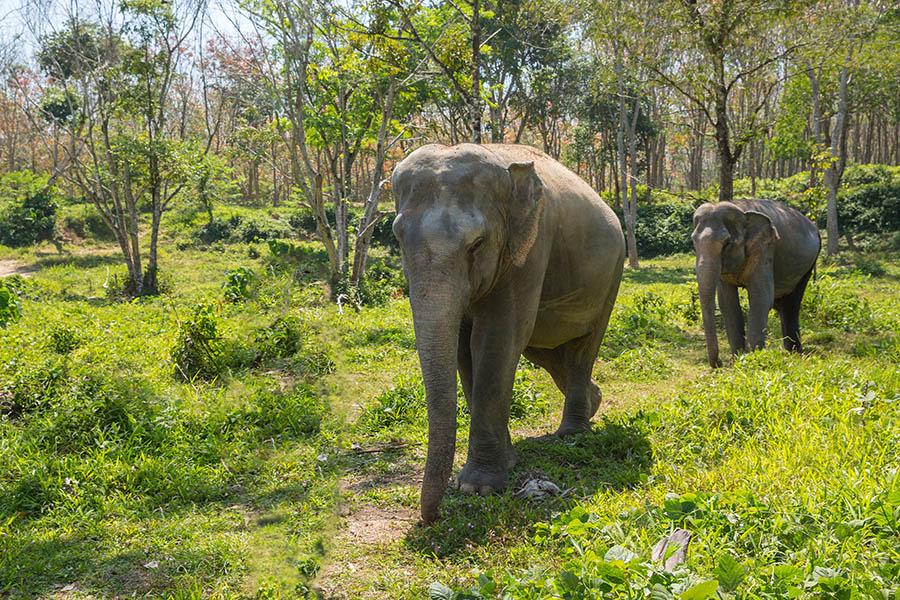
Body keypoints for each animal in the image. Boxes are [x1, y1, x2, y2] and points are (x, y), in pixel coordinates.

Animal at [391, 143, 625, 523]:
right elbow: (463, 348)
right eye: (397, 238)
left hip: (612, 278)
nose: (432, 517)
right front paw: (504, 465)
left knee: (581, 350)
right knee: (546, 352)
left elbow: (496, 338)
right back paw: (594, 401)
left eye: (477, 243)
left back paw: (572, 433)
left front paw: (479, 487)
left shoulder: (529, 250)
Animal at [691, 199, 821, 368]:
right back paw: (791, 354)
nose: (720, 363)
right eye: (693, 241)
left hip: (807, 267)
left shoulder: (764, 249)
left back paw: (795, 355)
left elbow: (761, 298)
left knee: (792, 304)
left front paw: (750, 360)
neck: (742, 211)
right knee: (782, 305)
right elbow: (727, 302)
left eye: (727, 243)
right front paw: (737, 360)